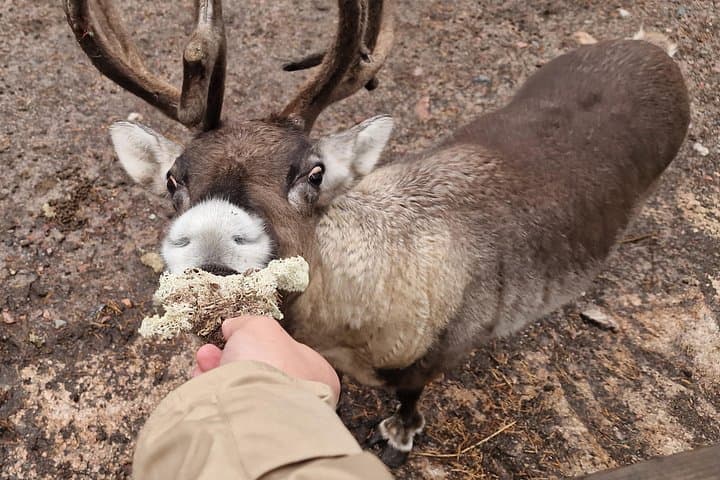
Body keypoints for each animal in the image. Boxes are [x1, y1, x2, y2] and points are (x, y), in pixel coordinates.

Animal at [65, 0, 689, 467]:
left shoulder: (442, 350)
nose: (212, 243)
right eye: (174, 178)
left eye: (313, 172)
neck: (346, 327)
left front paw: (398, 436)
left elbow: (410, 397)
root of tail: (653, 49)